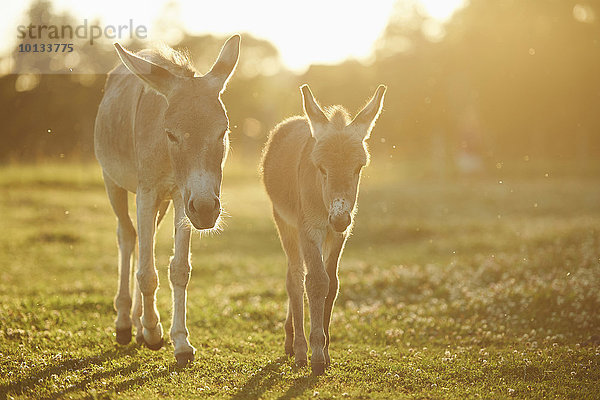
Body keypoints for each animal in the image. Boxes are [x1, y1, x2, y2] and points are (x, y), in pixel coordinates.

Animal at [260, 83, 386, 374]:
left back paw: (291, 337)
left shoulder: (338, 235)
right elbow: (316, 281)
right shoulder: (309, 229)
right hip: (285, 223)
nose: (338, 218)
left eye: (358, 167)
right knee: (295, 278)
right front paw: (316, 355)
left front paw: (326, 352)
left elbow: (333, 283)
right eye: (321, 168)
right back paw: (298, 349)